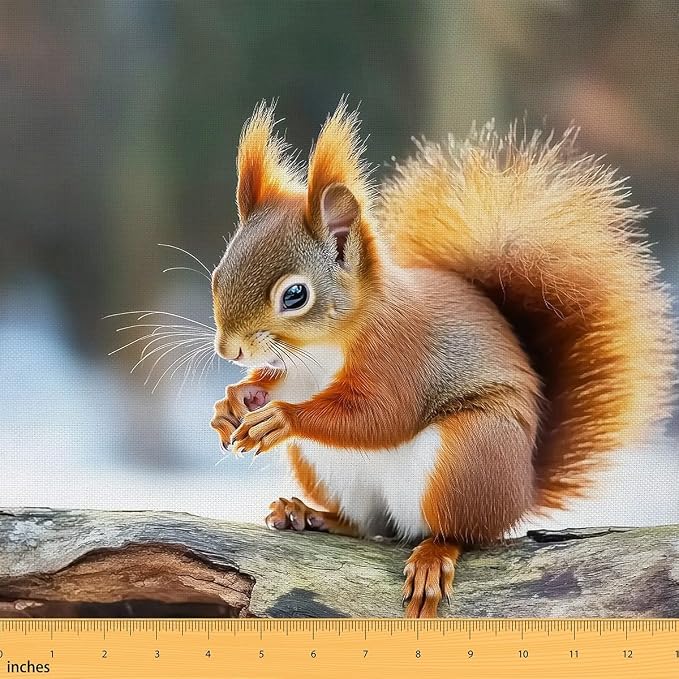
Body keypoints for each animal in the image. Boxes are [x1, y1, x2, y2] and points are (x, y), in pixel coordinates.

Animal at [210, 100, 676, 618]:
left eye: (295, 295)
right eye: (217, 274)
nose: (229, 350)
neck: (323, 348)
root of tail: (521, 491)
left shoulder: (400, 355)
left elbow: (380, 416)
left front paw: (281, 418)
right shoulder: (300, 370)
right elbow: (278, 383)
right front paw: (234, 401)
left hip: (469, 456)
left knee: (461, 533)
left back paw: (433, 555)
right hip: (331, 471)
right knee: (369, 525)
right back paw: (308, 513)